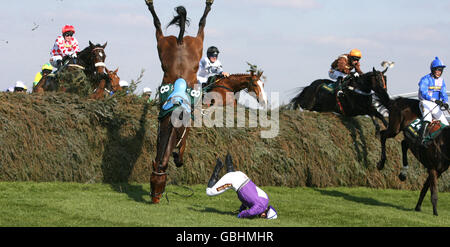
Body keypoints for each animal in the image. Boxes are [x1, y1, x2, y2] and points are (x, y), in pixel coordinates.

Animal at [145, 0, 214, 204]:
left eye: (161, 183)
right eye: (152, 182)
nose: (155, 200)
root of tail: (181, 40)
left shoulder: (186, 128)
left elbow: (181, 150)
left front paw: (177, 158)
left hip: (187, 43)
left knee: (199, 25)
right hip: (169, 44)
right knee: (159, 25)